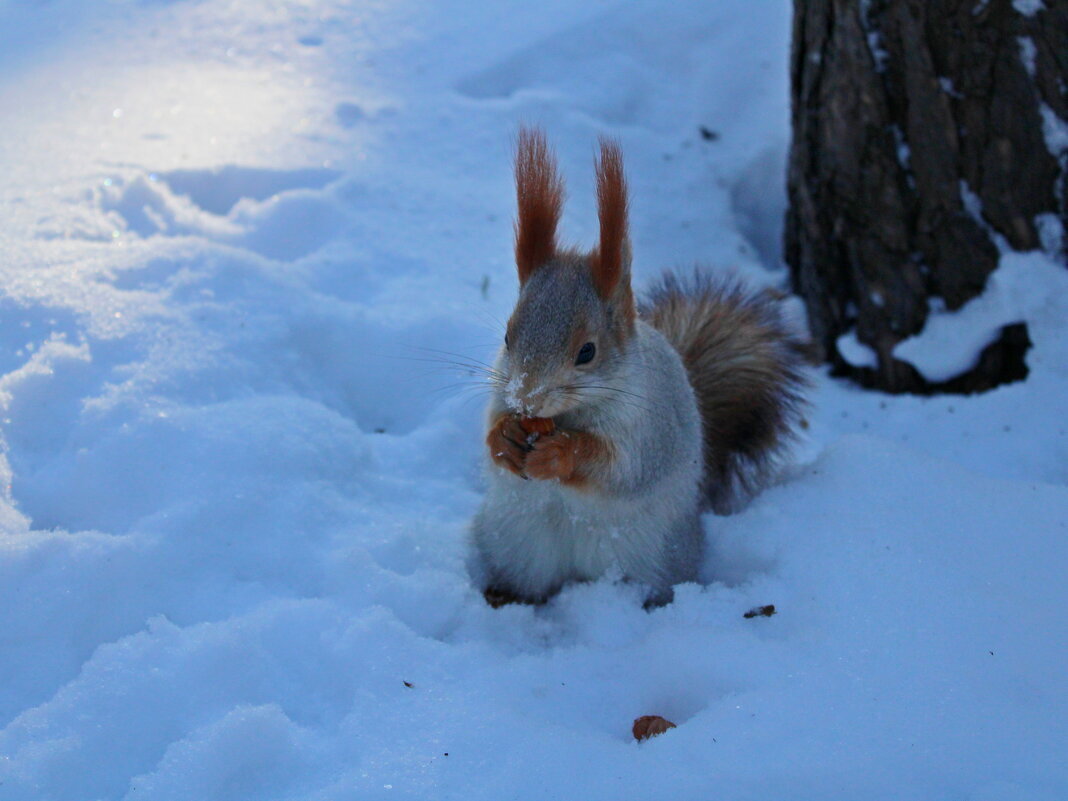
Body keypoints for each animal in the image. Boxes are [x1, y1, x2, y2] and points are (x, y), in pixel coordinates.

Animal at [472, 130, 803, 606]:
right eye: (506, 336)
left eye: (587, 351)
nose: (526, 399)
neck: (568, 416)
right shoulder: (499, 394)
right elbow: (489, 435)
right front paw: (505, 437)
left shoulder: (649, 427)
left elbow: (622, 469)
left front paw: (561, 453)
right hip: (512, 543)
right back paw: (506, 596)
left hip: (655, 559)